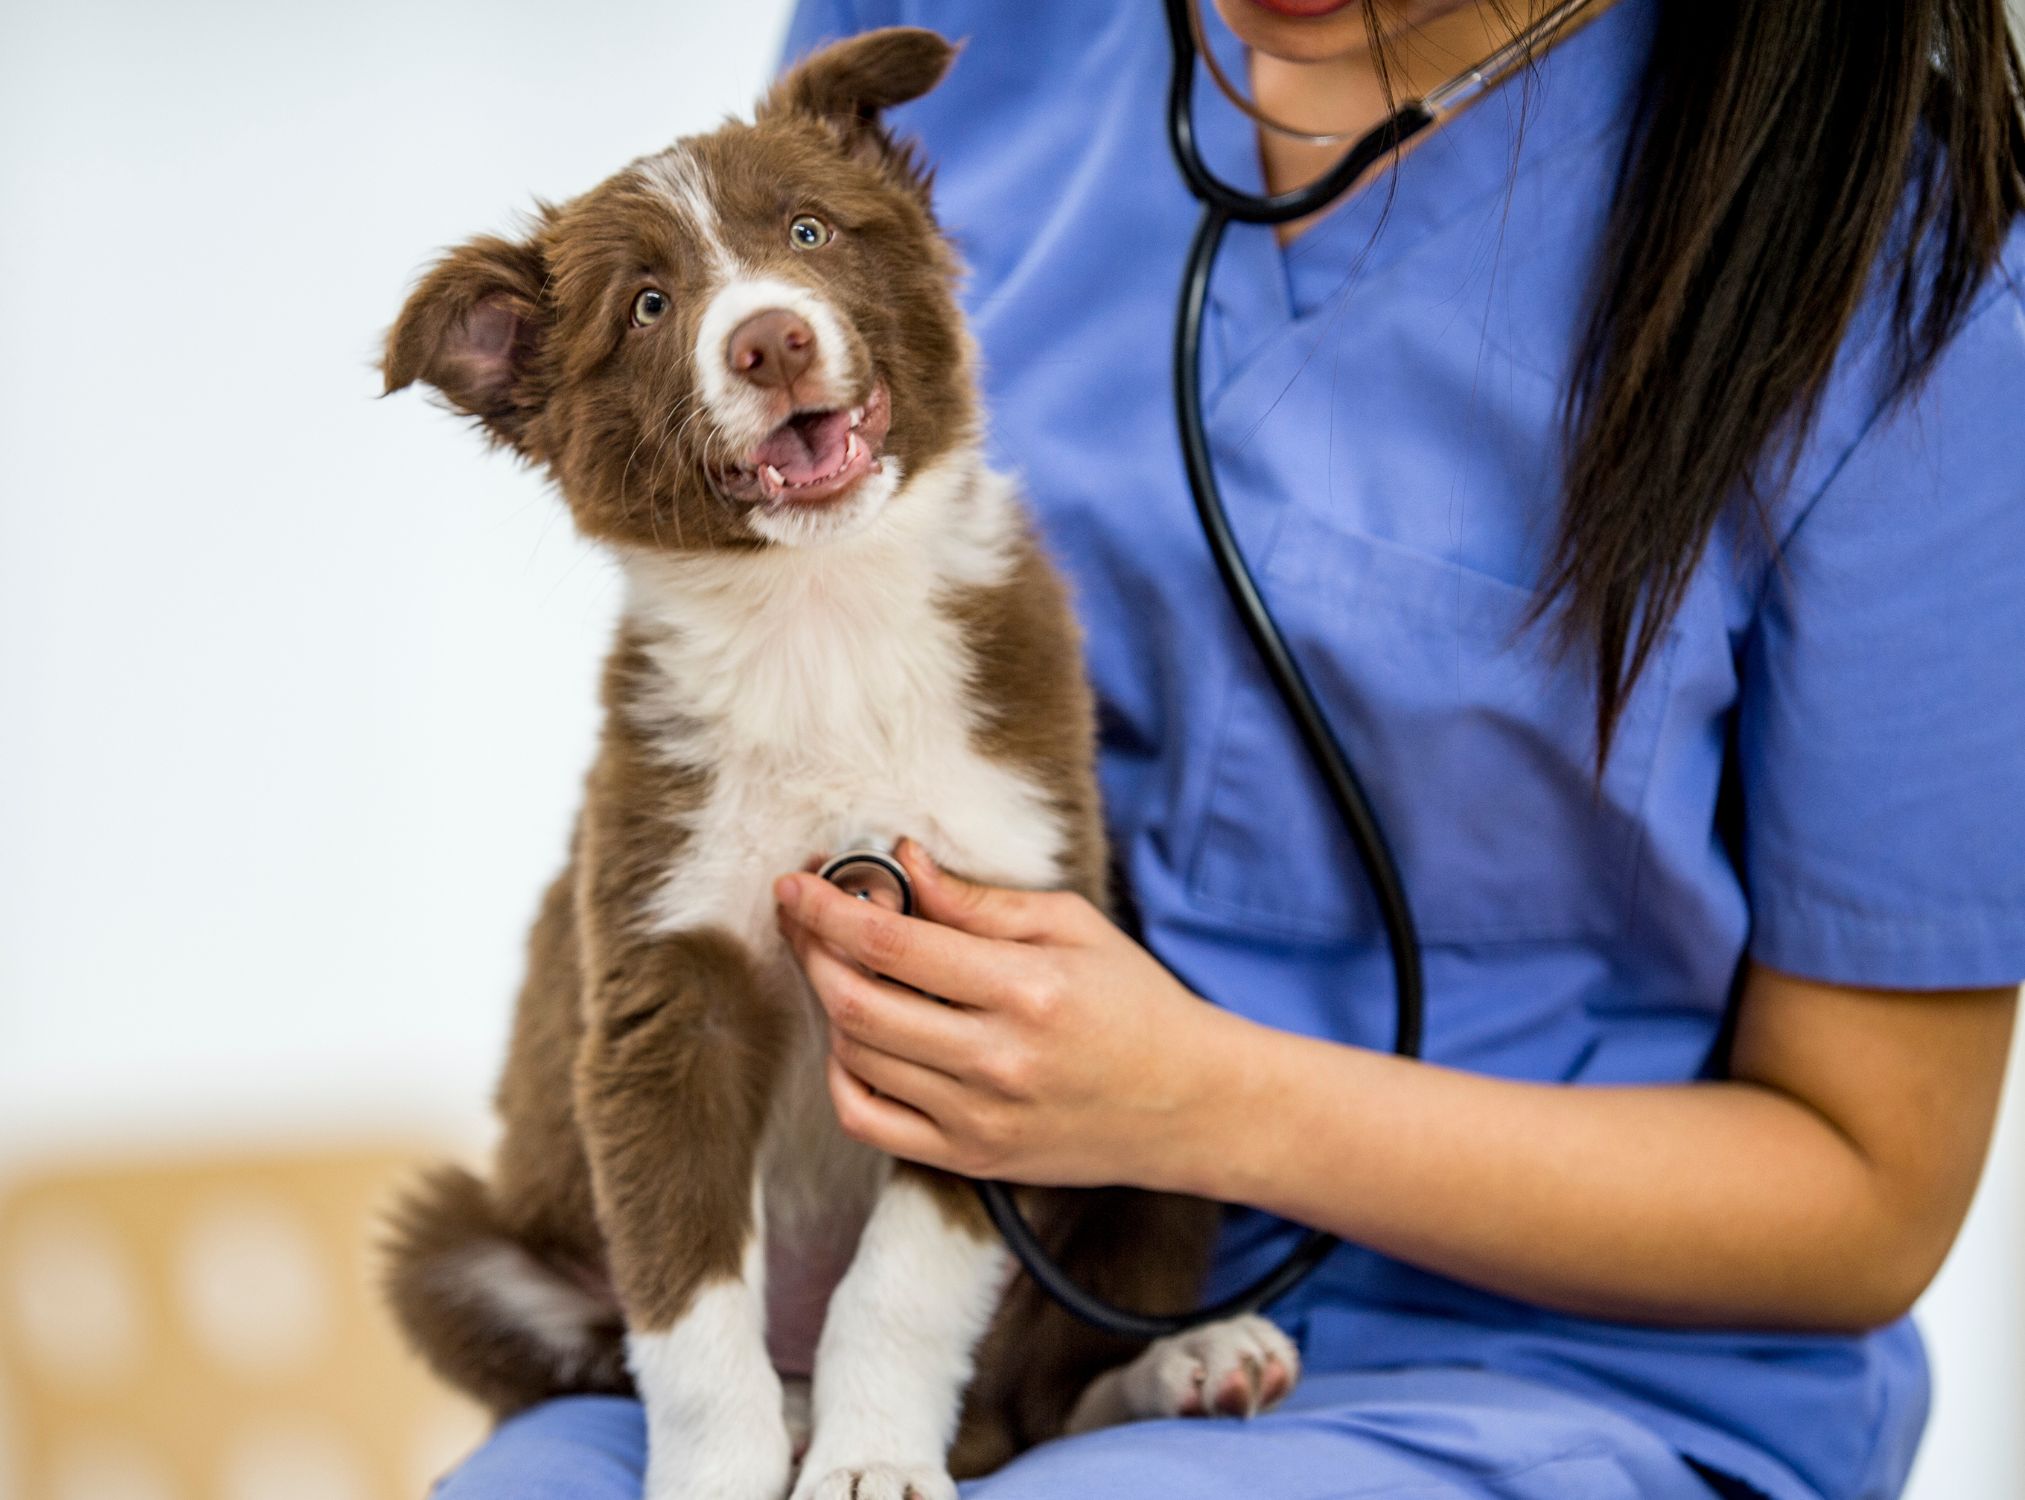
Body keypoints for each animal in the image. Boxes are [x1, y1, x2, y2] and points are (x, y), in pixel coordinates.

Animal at [380, 26, 1296, 1497]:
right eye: (649, 306)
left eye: (808, 231)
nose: (770, 338)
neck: (820, 623)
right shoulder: (667, 992)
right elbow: (689, 1307)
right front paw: (724, 1473)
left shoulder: (992, 977)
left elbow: (905, 1281)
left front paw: (876, 1461)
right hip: (457, 1245)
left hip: (1166, 1096)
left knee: (1045, 1391)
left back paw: (1187, 1364)